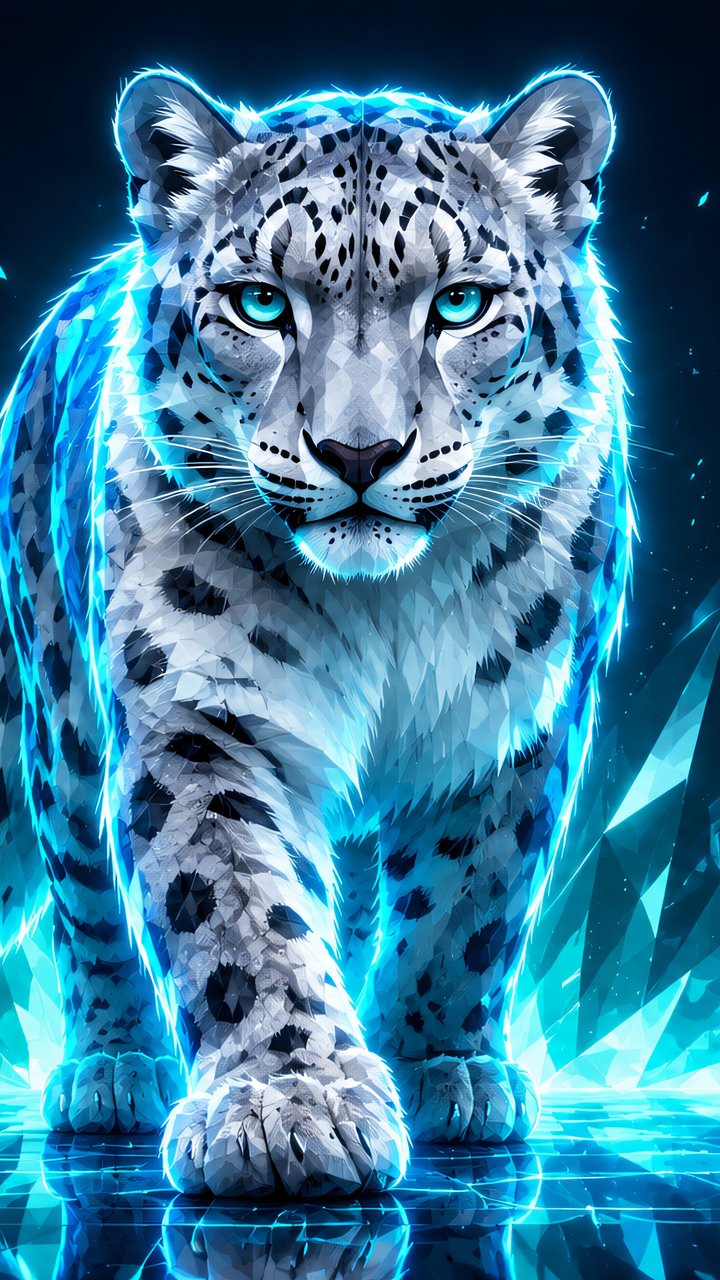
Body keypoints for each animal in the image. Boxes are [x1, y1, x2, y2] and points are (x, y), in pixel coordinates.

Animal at [0, 68, 632, 1197]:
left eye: (461, 303)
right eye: (260, 302)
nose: (360, 451)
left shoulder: (510, 724)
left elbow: (468, 908)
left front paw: (443, 1067)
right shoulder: (201, 711)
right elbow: (236, 903)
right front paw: (287, 1107)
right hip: (58, 711)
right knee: (81, 888)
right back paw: (109, 1069)